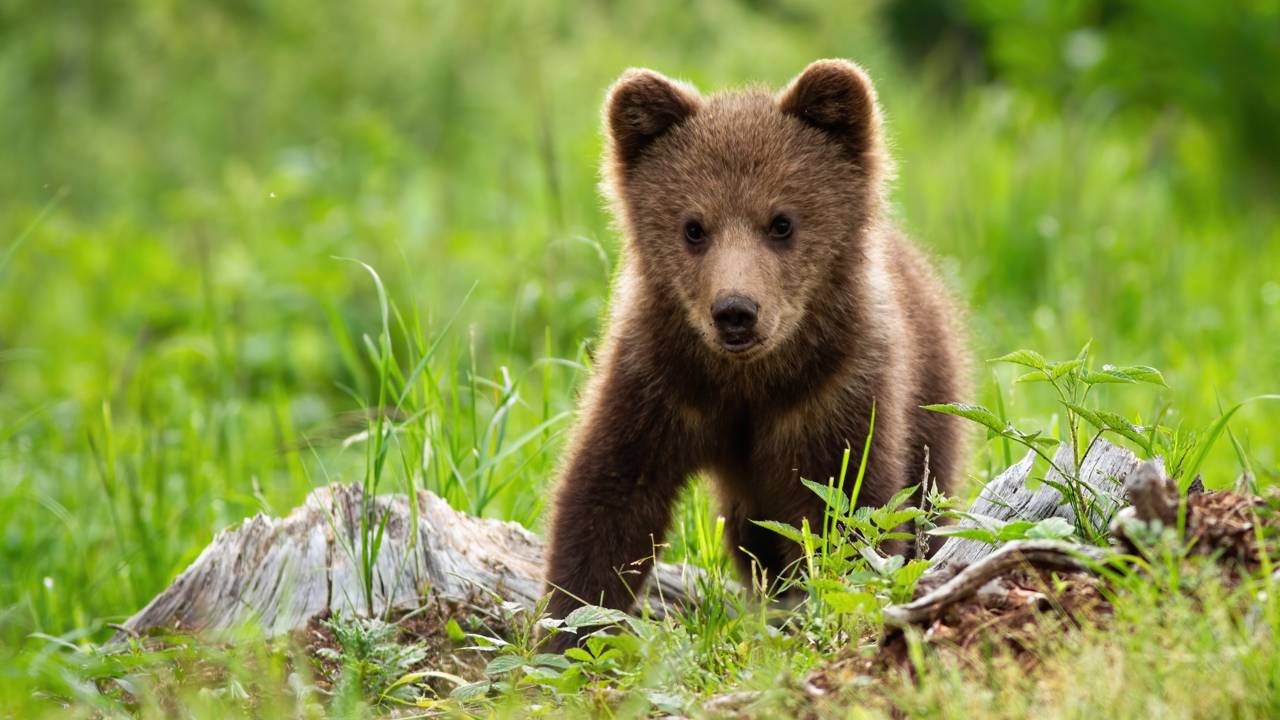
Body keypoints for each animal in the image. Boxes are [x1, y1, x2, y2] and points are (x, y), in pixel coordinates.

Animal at [542, 60, 970, 644]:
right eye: (693, 226)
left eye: (782, 221)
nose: (736, 311)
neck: (748, 381)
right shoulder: (659, 382)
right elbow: (608, 496)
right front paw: (568, 628)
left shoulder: (835, 391)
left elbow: (851, 506)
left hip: (932, 394)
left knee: (928, 499)